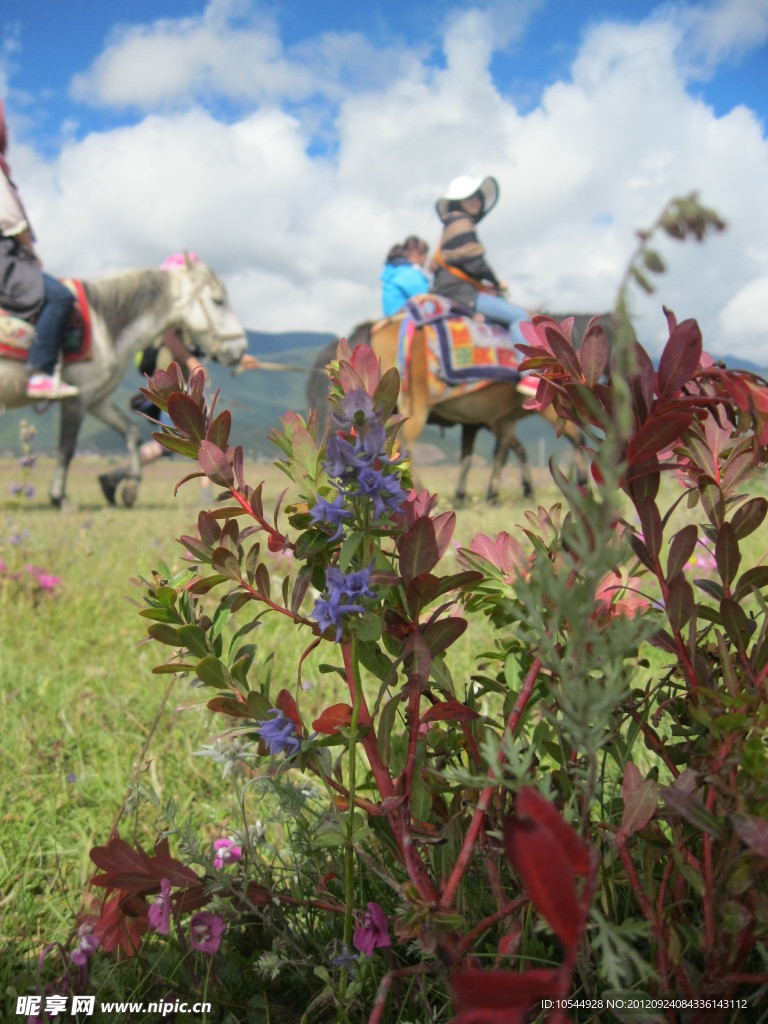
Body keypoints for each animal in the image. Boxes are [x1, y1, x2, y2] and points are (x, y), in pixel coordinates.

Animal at [0, 260, 246, 507]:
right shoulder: (77, 398)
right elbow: (66, 449)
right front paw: (60, 498)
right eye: (218, 300)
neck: (105, 329)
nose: (241, 349)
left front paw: (128, 488)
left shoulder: (96, 400)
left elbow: (132, 433)